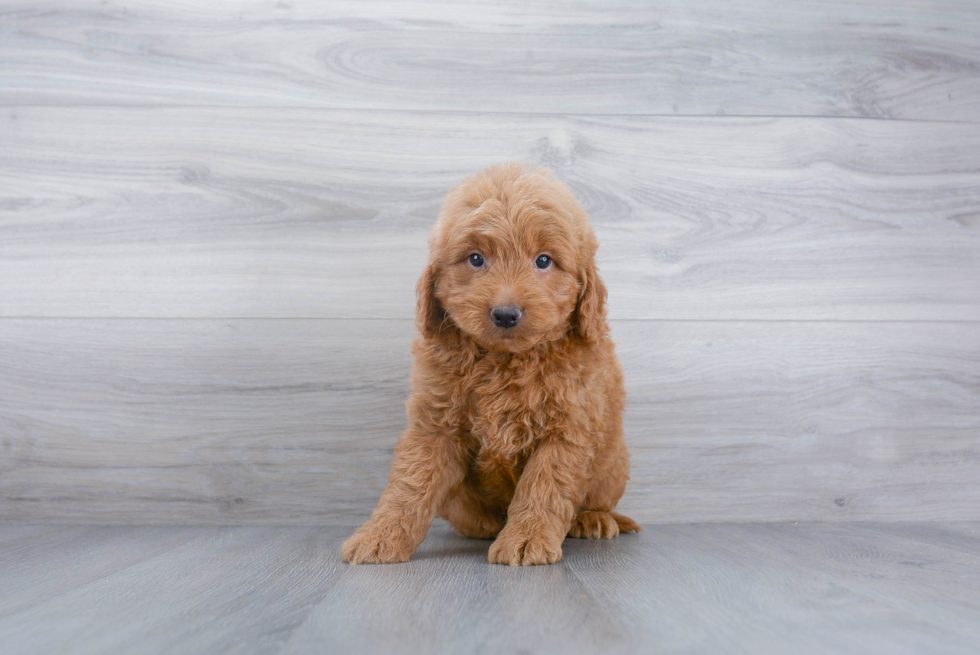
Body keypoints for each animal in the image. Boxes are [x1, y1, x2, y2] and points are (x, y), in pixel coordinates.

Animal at [340, 161, 640, 568]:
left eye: (543, 260)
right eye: (476, 259)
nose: (506, 314)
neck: (505, 359)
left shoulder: (568, 428)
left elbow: (543, 485)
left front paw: (526, 540)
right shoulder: (434, 424)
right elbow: (411, 483)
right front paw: (380, 536)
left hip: (613, 467)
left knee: (598, 501)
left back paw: (592, 519)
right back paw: (485, 524)